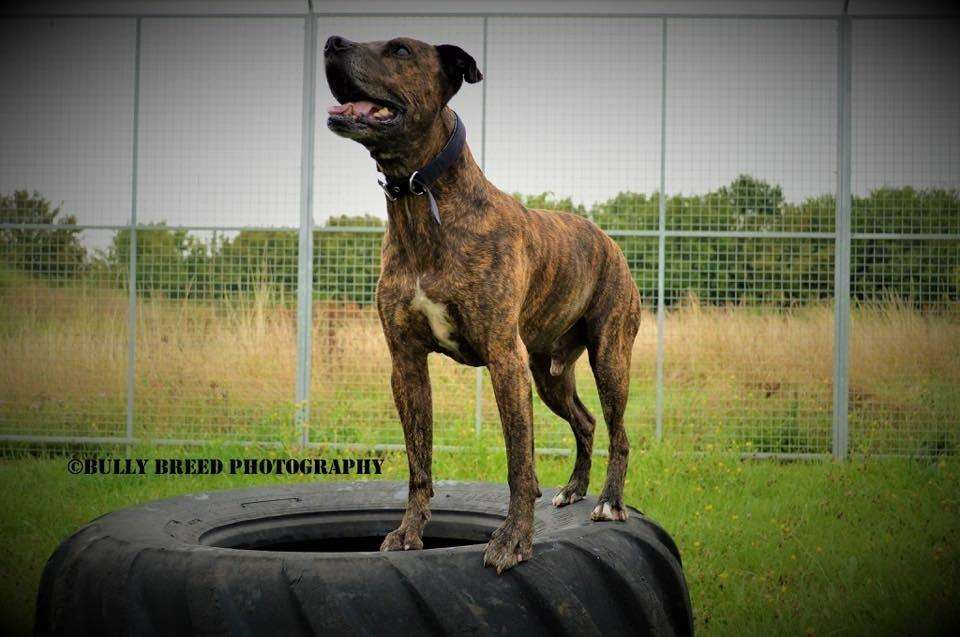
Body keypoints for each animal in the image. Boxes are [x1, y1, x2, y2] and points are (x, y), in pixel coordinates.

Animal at [326, 33, 640, 572]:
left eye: (400, 50)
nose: (331, 42)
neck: (421, 204)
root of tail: (609, 242)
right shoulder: (406, 363)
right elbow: (419, 461)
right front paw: (409, 532)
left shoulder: (503, 359)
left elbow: (519, 461)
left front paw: (514, 539)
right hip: (548, 374)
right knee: (585, 421)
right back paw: (574, 489)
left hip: (609, 356)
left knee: (617, 431)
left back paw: (608, 500)